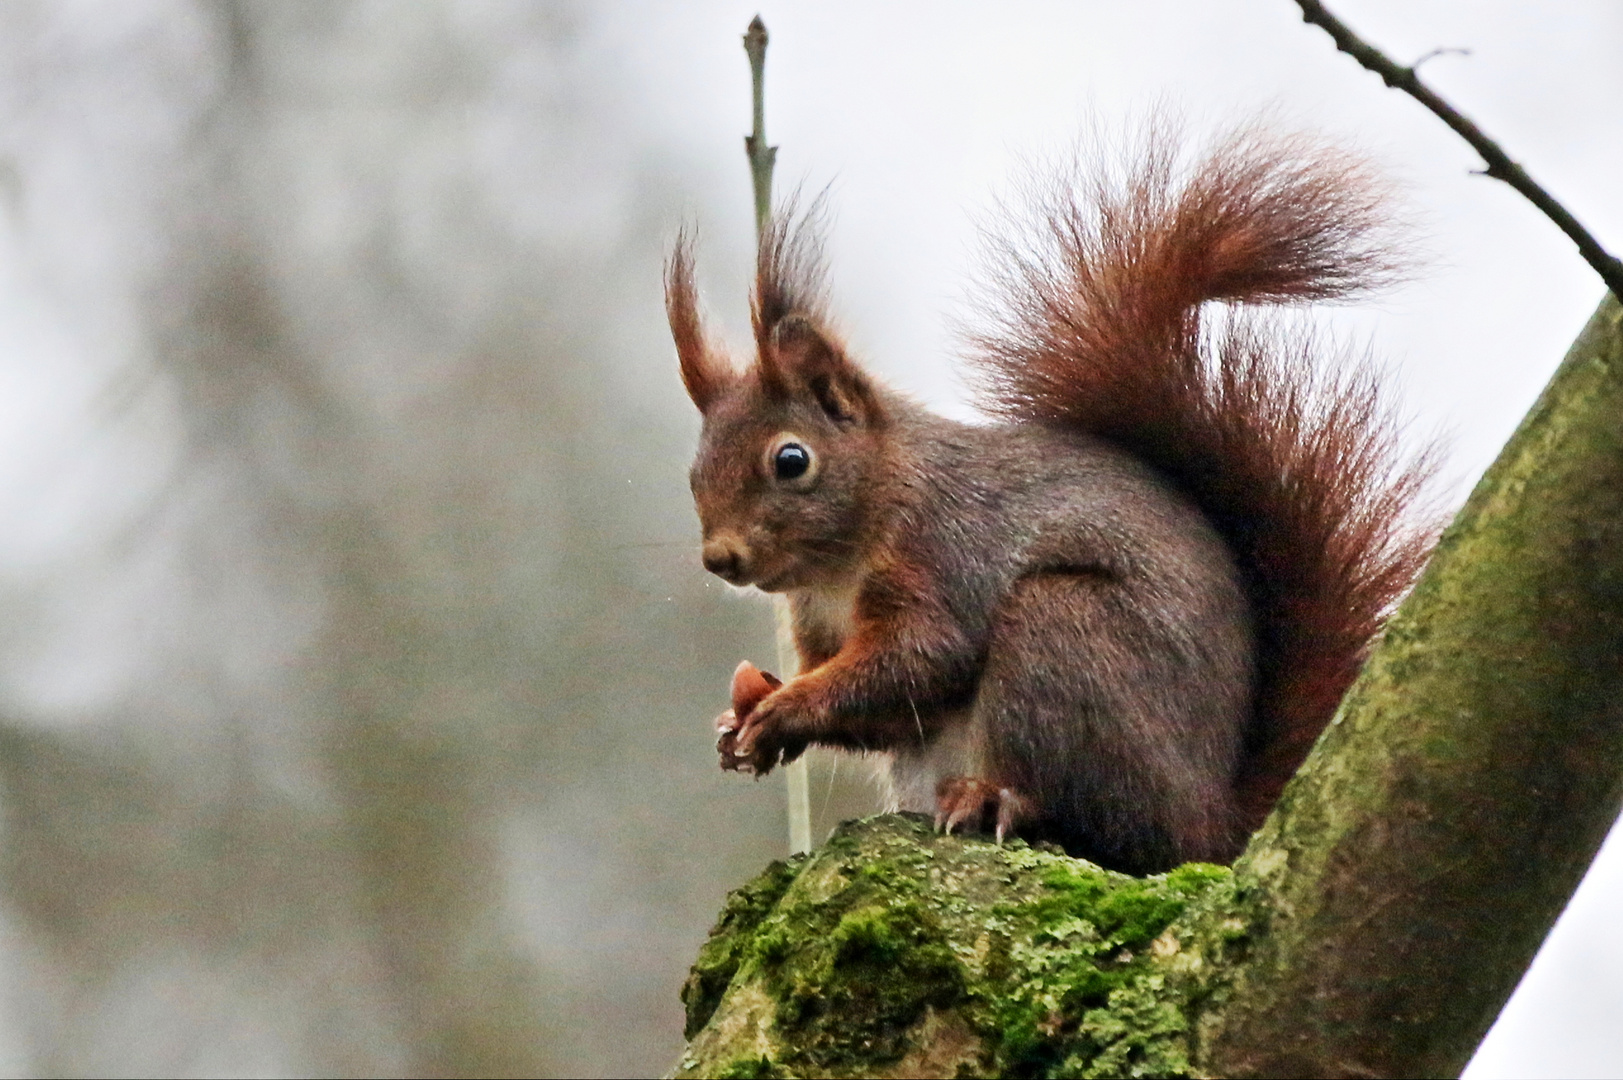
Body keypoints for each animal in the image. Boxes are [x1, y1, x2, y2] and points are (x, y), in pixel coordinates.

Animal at [668, 126, 1434, 870]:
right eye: (693, 472)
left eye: (791, 460)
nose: (720, 558)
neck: (844, 558)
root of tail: (1214, 824)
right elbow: (888, 711)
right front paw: (744, 721)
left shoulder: (945, 552)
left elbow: (923, 657)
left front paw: (786, 707)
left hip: (1064, 633)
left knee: (1112, 825)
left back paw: (999, 800)